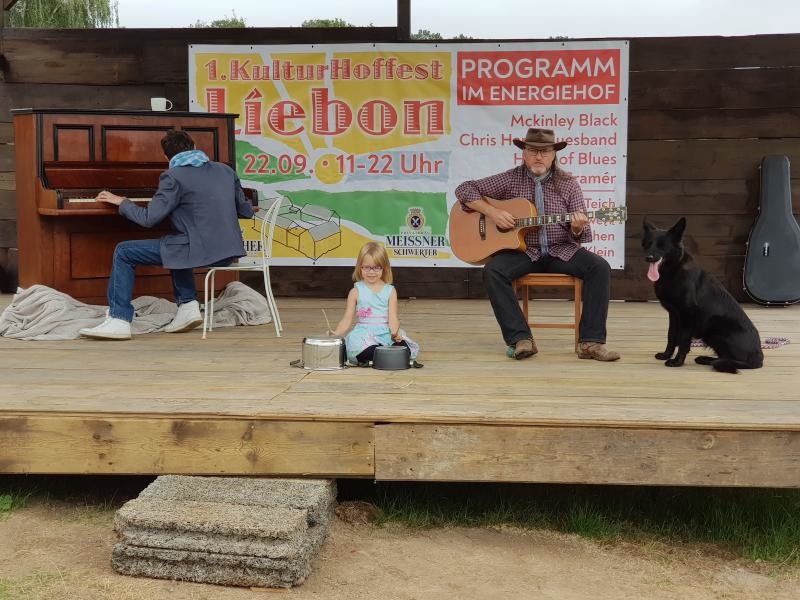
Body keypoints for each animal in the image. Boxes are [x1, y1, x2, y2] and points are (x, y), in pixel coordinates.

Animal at [644, 218, 764, 372]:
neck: (673, 270)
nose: (648, 258)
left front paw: (677, 361)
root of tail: (758, 358)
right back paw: (705, 359)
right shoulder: (674, 314)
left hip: (715, 329)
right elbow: (671, 336)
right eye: (648, 244)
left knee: (733, 361)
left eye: (662, 246)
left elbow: (683, 340)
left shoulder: (687, 314)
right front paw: (666, 355)